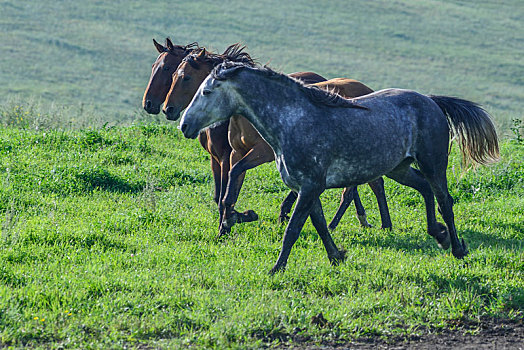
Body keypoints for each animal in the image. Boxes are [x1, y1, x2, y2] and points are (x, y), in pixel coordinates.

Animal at [165, 46, 392, 237]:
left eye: (186, 78)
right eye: (173, 74)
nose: (169, 109)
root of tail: (368, 90)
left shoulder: (261, 153)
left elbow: (234, 175)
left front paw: (238, 217)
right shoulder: (236, 153)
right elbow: (230, 187)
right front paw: (227, 225)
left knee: (363, 187)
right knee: (370, 184)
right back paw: (373, 223)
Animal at [180, 61, 500, 274]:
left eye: (206, 92)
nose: (185, 125)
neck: (293, 121)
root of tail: (431, 101)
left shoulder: (310, 186)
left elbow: (293, 229)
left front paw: (276, 269)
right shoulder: (307, 188)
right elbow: (319, 225)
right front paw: (337, 256)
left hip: (433, 163)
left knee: (445, 200)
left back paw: (457, 247)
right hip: (398, 168)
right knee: (424, 188)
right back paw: (439, 234)